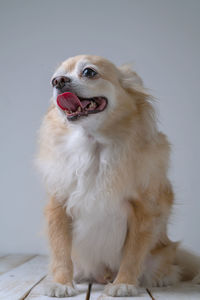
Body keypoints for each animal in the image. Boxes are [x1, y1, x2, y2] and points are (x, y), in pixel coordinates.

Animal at [36, 55, 200, 296]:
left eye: (89, 72)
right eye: (53, 79)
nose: (58, 81)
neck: (93, 147)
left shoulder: (143, 212)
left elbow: (132, 254)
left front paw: (124, 283)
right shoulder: (59, 207)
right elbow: (60, 253)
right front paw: (61, 283)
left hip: (163, 251)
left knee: (169, 267)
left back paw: (161, 278)